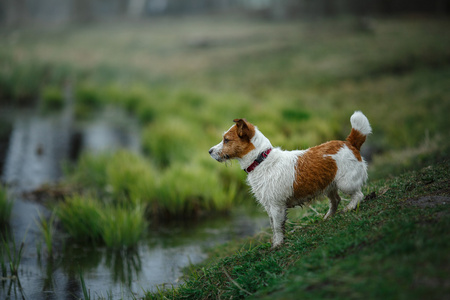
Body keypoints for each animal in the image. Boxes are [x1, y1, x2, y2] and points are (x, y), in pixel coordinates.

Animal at [209, 111, 370, 247]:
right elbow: (273, 226)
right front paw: (276, 242)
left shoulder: (276, 206)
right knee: (336, 200)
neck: (261, 160)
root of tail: (349, 143)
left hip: (346, 184)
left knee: (358, 195)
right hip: (329, 185)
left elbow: (277, 227)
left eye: (226, 140)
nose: (209, 151)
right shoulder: (269, 206)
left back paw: (349, 208)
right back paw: (328, 216)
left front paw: (278, 244)